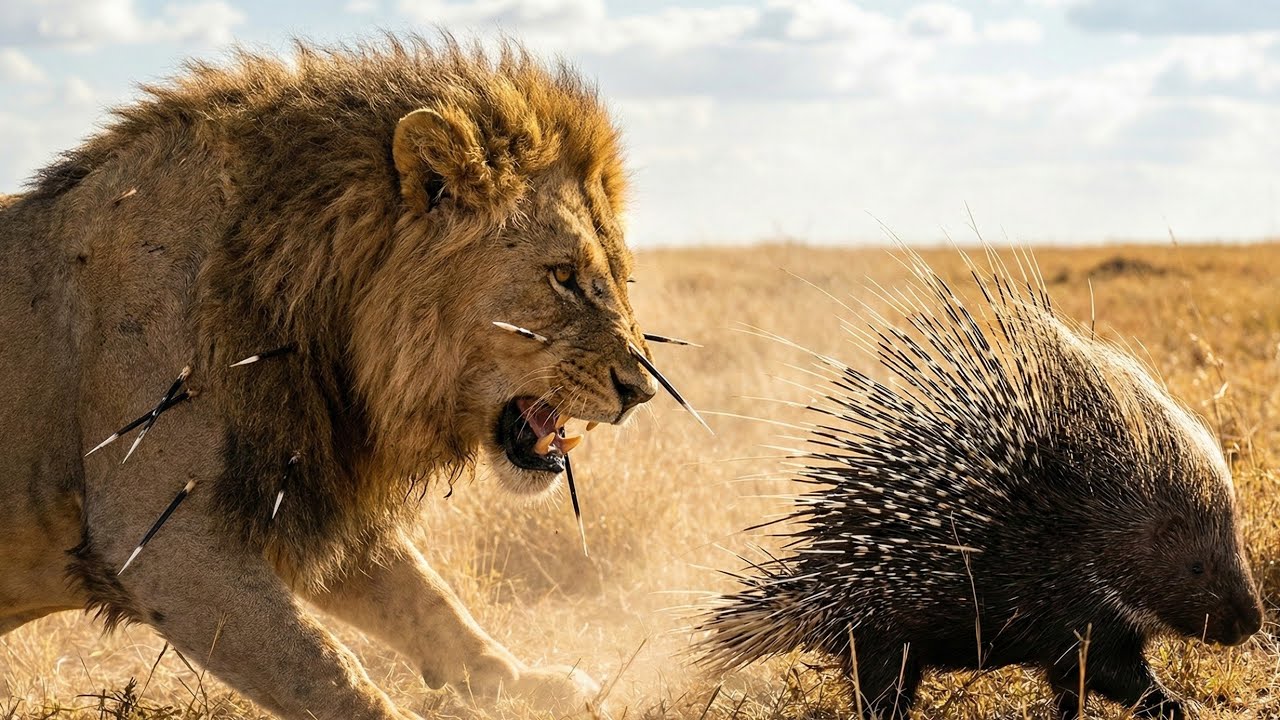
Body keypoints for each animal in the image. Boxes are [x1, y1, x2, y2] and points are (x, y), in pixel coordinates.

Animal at [0, 37, 659, 719]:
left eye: (621, 274)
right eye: (563, 276)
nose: (641, 391)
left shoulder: (311, 481)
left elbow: (431, 603)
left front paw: (529, 682)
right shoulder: (158, 536)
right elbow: (322, 668)